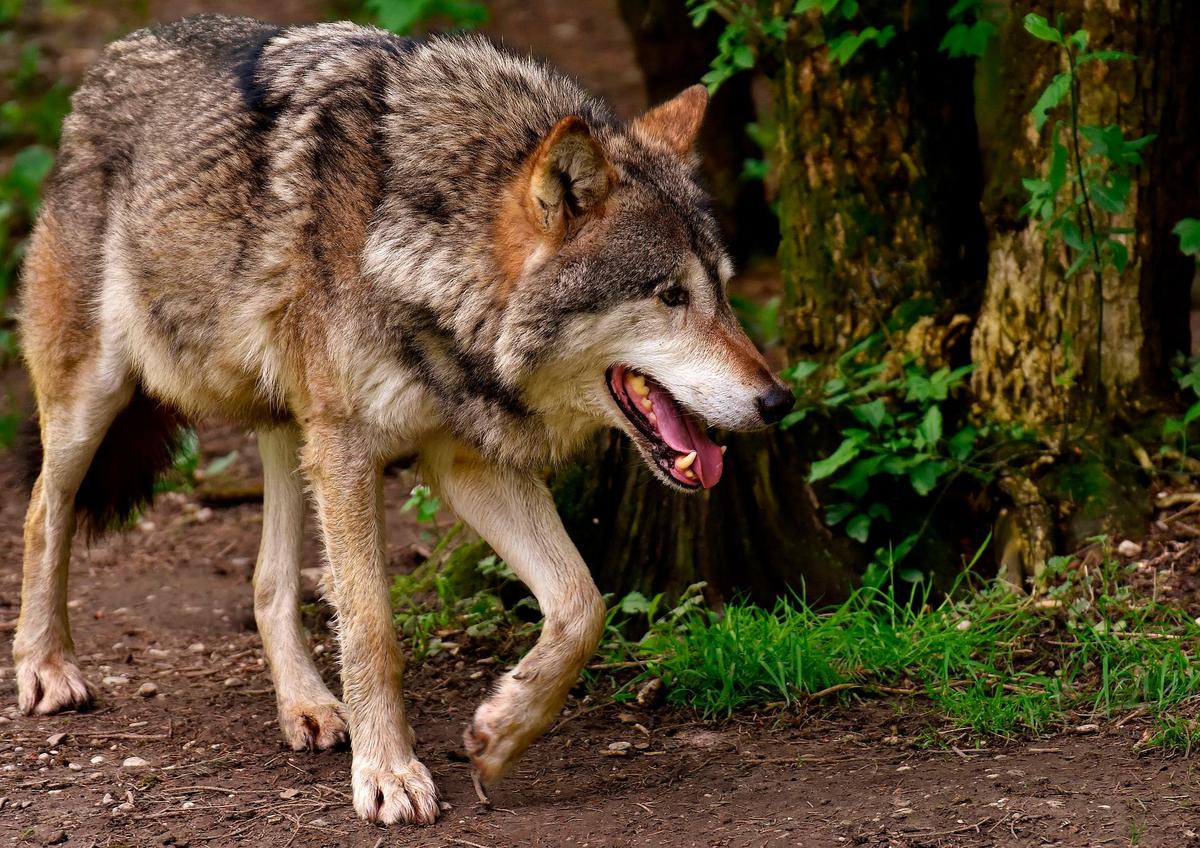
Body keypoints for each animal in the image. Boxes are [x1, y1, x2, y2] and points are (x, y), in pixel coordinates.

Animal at [11, 16, 796, 825]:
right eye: (670, 295)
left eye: (724, 292)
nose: (778, 401)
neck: (426, 252)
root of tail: (113, 55)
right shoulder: (352, 451)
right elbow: (372, 628)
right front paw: (387, 773)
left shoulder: (465, 463)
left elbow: (583, 605)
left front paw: (502, 733)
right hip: (98, 399)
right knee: (43, 510)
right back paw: (46, 668)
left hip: (291, 429)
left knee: (268, 580)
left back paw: (308, 707)